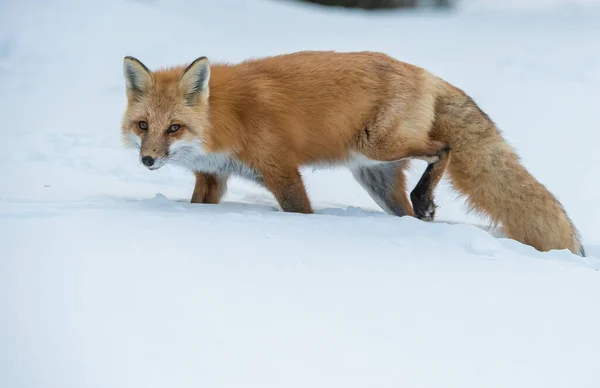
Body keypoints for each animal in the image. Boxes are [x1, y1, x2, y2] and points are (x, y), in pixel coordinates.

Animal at [119, 50, 584, 258]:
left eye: (174, 128)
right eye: (143, 126)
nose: (148, 160)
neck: (223, 119)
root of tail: (425, 72)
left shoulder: (281, 169)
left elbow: (299, 211)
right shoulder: (213, 177)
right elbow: (201, 203)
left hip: (376, 145)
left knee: (444, 148)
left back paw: (426, 198)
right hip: (375, 175)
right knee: (408, 208)